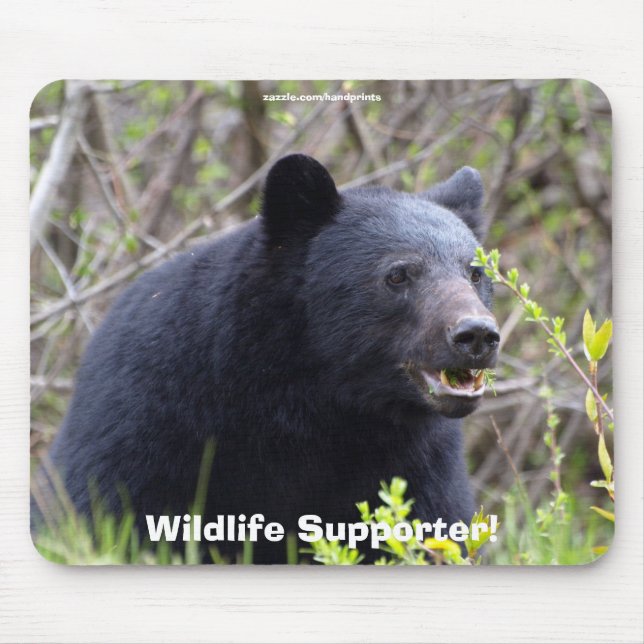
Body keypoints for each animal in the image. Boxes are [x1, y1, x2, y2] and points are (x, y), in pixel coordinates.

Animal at [34, 154, 500, 564]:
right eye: (398, 274)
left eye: (476, 272)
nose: (476, 334)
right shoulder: (147, 416)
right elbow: (104, 509)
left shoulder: (420, 461)